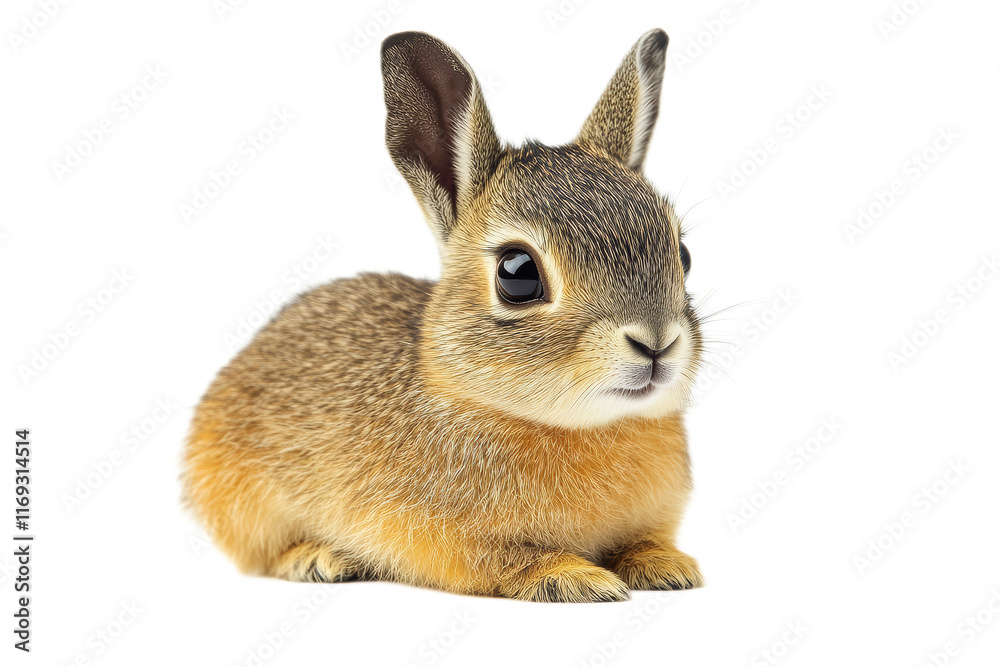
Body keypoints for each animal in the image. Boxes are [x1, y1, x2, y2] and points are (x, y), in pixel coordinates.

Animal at [183, 28, 704, 603]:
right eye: (517, 273)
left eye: (683, 256)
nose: (656, 343)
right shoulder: (448, 544)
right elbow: (506, 561)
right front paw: (575, 577)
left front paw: (666, 566)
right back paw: (318, 559)